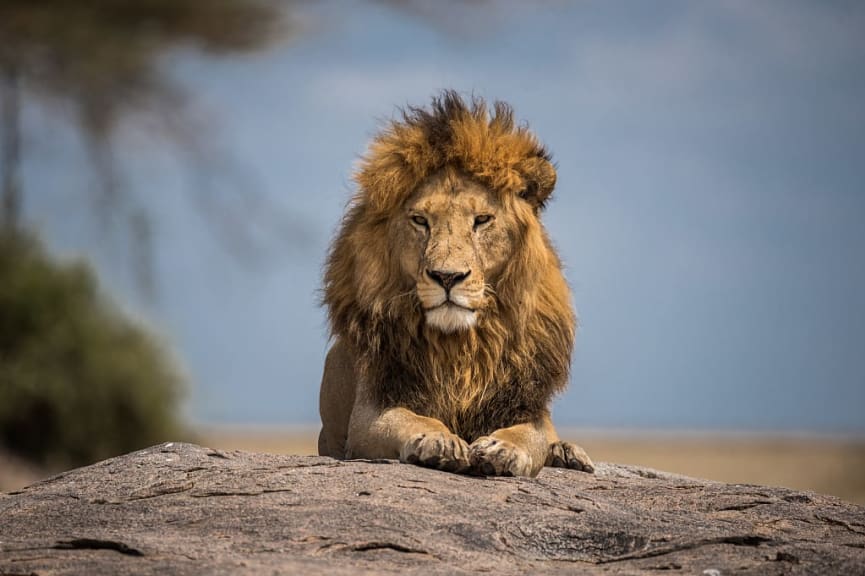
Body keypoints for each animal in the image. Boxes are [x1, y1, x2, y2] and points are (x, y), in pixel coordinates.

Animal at [318, 91, 592, 476]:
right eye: (420, 220)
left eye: (482, 220)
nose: (447, 277)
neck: (460, 347)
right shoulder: (370, 411)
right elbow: (411, 419)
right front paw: (439, 440)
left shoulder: (525, 404)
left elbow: (530, 434)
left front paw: (504, 449)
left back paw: (569, 453)